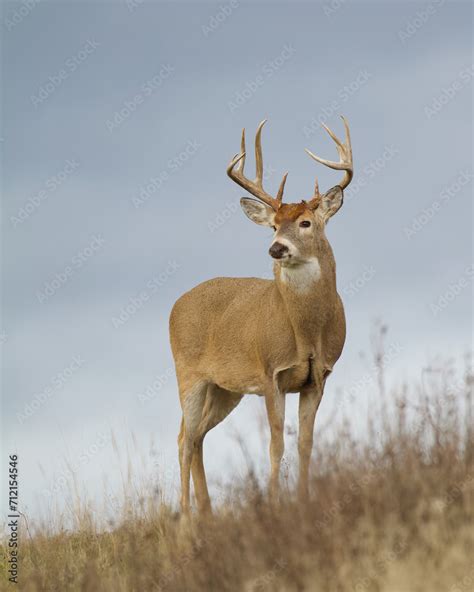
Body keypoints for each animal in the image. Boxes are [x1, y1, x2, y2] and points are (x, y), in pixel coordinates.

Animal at [169, 117, 352, 512]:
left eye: (305, 223)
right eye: (273, 225)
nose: (276, 248)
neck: (307, 332)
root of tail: (176, 304)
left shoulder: (319, 376)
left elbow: (305, 443)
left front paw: (304, 501)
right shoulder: (271, 372)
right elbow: (276, 444)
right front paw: (274, 503)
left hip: (224, 388)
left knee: (197, 436)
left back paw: (206, 513)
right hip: (188, 374)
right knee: (184, 439)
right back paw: (186, 518)